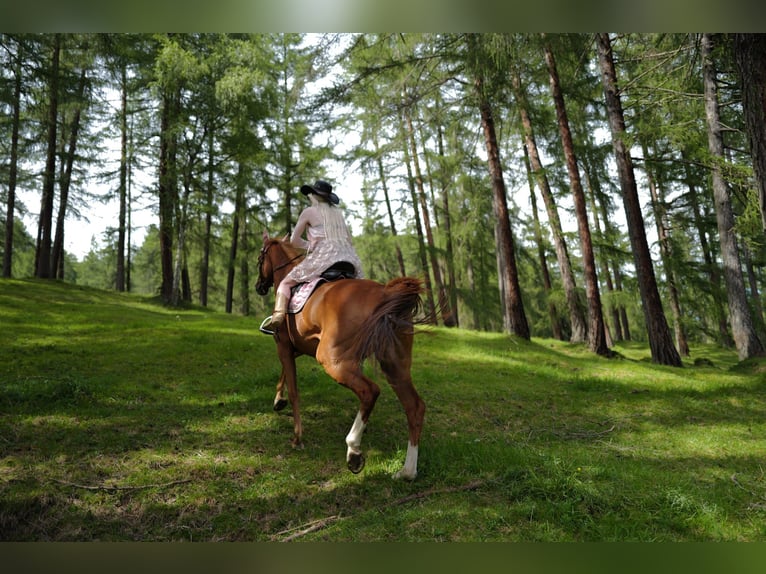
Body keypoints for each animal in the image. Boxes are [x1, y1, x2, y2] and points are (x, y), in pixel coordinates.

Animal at [256, 231, 426, 482]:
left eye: (260, 258)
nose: (259, 286)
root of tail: (385, 293)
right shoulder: (298, 347)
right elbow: (284, 372)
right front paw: (279, 399)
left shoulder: (283, 345)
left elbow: (294, 389)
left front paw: (297, 436)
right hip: (395, 365)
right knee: (414, 406)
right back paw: (407, 471)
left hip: (332, 360)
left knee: (370, 391)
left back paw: (353, 450)